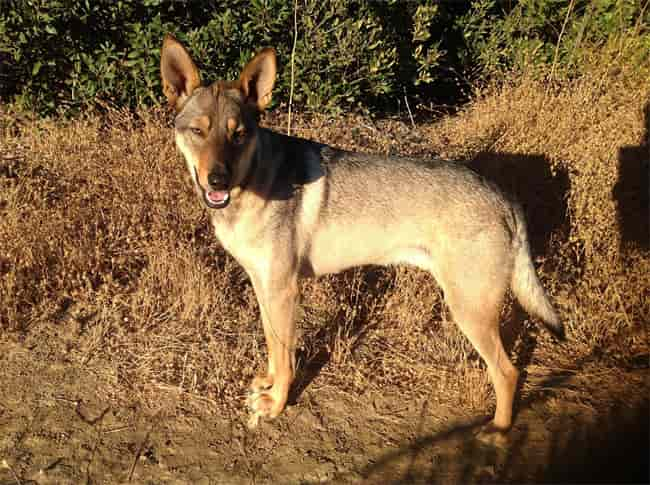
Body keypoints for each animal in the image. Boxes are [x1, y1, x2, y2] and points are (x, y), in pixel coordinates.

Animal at [159, 34, 560, 432]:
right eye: (198, 131)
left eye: (238, 135)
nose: (218, 180)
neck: (252, 181)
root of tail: (505, 197)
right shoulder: (264, 287)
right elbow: (274, 347)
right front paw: (269, 385)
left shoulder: (284, 290)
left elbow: (286, 358)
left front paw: (276, 404)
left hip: (469, 310)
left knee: (508, 373)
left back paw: (498, 432)